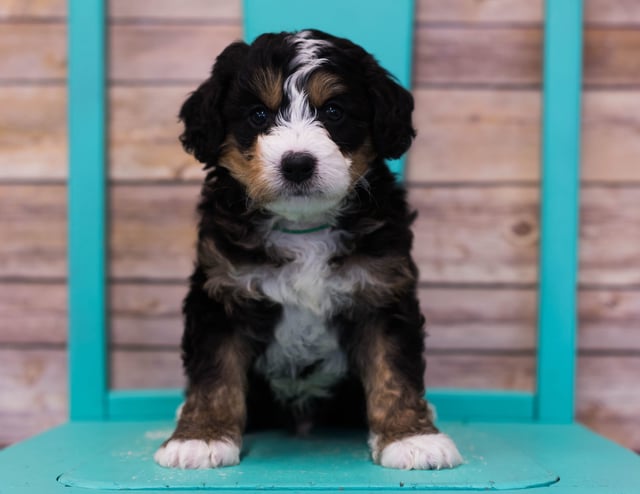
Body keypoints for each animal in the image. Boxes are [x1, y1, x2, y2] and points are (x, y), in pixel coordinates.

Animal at [157, 29, 462, 470]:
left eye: (333, 111)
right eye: (259, 116)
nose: (297, 164)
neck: (303, 227)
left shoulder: (381, 290)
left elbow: (393, 368)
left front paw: (412, 436)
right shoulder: (222, 292)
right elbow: (215, 373)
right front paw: (201, 437)